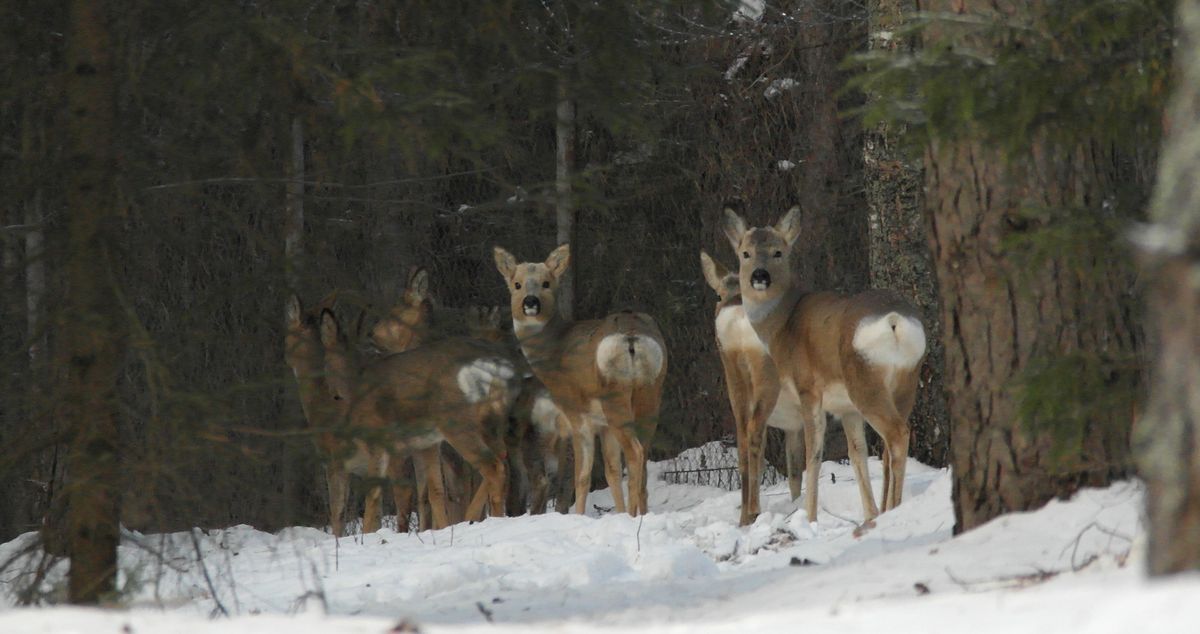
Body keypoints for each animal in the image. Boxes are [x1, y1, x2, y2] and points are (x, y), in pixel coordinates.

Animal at [492, 242, 672, 513]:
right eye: (517, 284)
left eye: (546, 283)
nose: (530, 302)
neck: (554, 347)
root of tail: (632, 335)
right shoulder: (603, 426)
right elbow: (611, 471)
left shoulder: (576, 413)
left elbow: (581, 476)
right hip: (651, 394)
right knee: (642, 463)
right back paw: (640, 513)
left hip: (613, 396)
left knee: (635, 453)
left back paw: (632, 515)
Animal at [696, 252, 806, 525]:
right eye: (718, 294)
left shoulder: (793, 423)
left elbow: (795, 472)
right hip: (766, 378)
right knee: (752, 432)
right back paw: (753, 510)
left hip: (733, 376)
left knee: (743, 439)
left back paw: (745, 517)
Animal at [720, 206, 926, 521]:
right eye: (746, 253)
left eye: (778, 252)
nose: (760, 275)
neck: (782, 324)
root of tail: (895, 321)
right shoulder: (845, 408)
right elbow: (857, 454)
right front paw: (869, 515)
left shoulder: (808, 388)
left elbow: (813, 457)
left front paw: (810, 517)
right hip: (906, 381)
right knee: (891, 444)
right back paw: (888, 509)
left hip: (864, 381)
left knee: (898, 435)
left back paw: (894, 508)